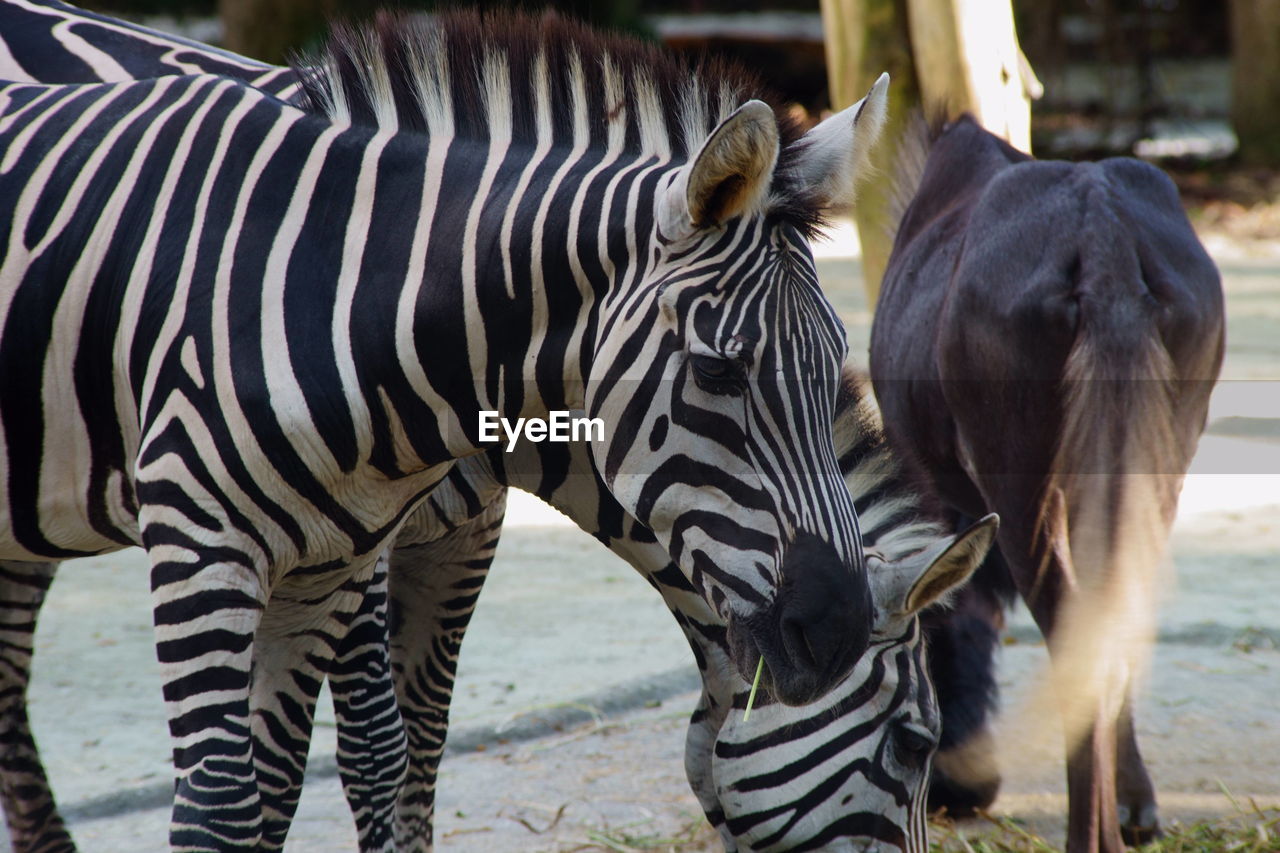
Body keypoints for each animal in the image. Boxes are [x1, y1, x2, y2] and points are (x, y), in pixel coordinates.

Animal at [0, 9, 896, 845]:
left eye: (832, 366)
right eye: (717, 371)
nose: (839, 629)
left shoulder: (368, 554)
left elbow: (360, 758)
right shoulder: (204, 546)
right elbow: (309, 772)